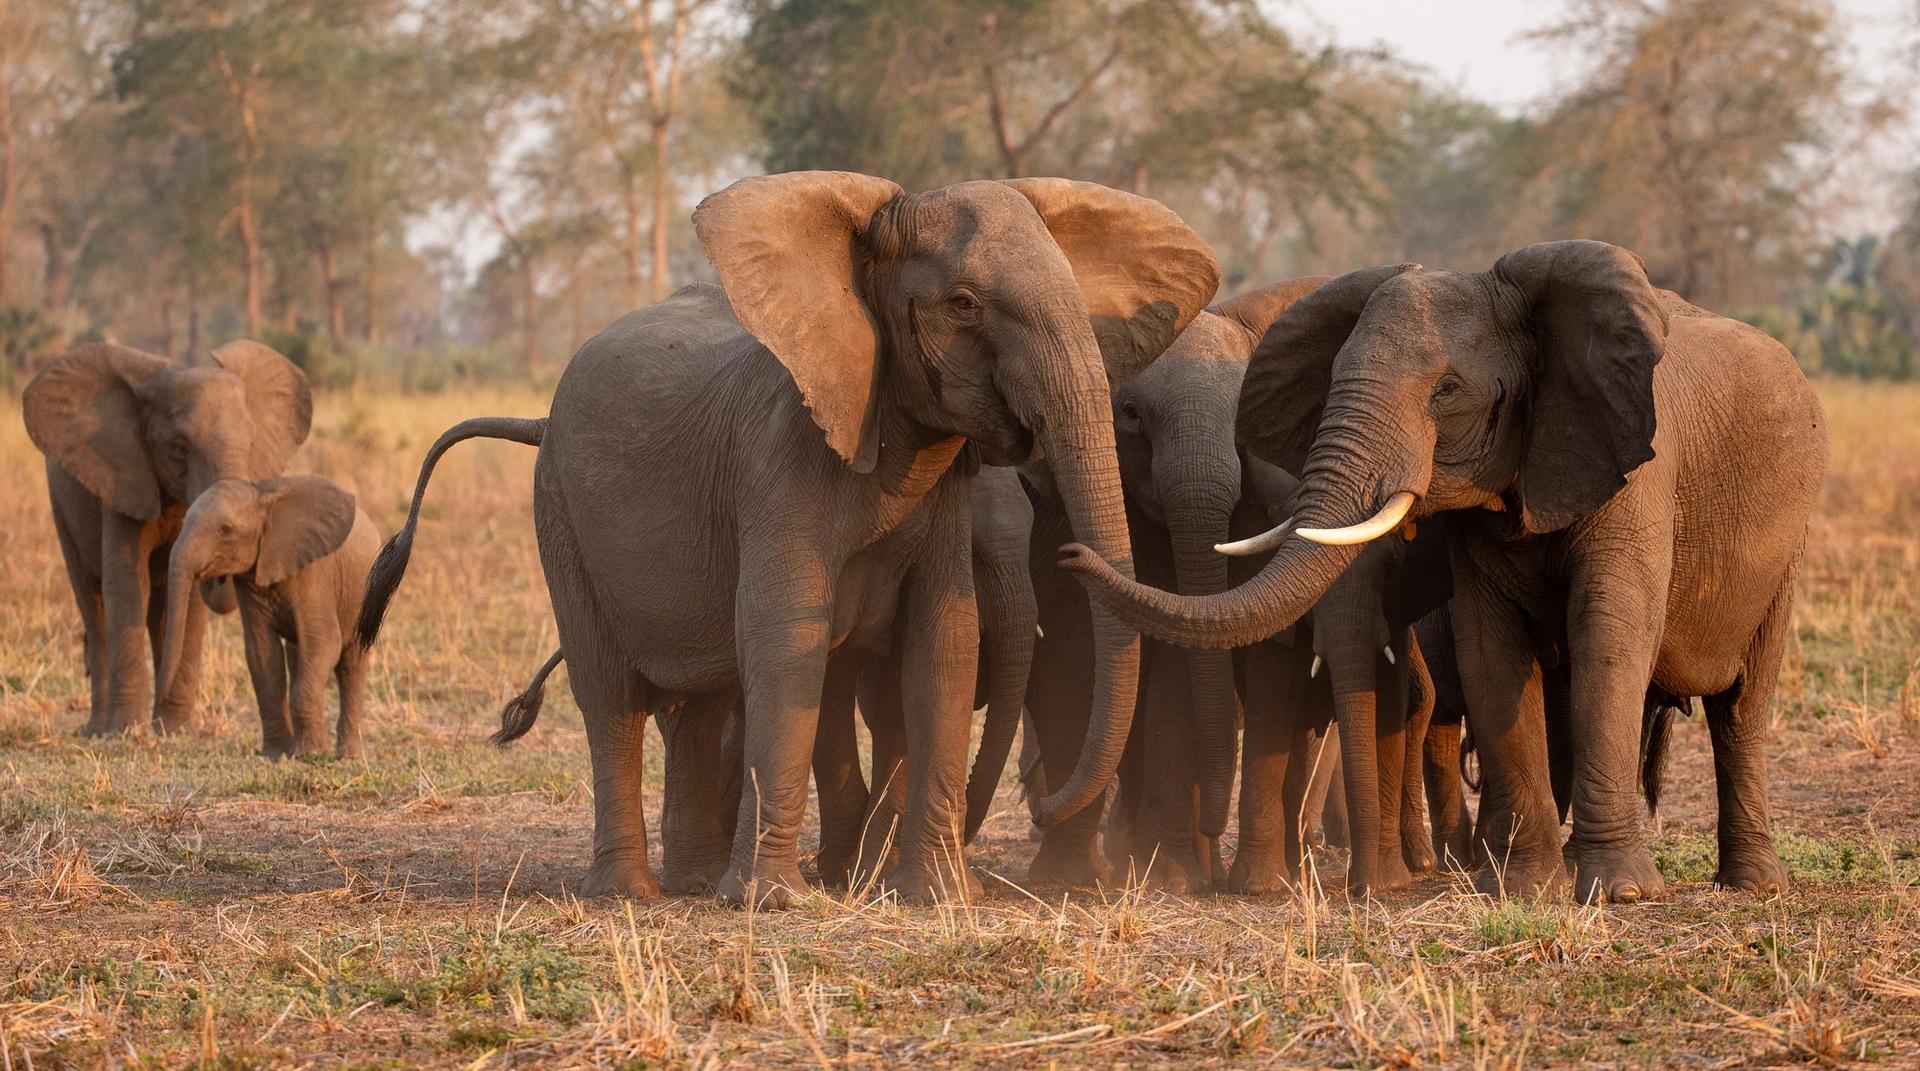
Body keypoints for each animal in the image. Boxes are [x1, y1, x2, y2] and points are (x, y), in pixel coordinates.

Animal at [24, 340, 313, 739]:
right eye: (179, 448)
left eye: (252, 441)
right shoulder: (122, 478)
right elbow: (127, 584)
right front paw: (127, 733)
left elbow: (188, 596)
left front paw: (174, 732)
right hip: (62, 508)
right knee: (92, 604)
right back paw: (98, 729)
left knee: (160, 612)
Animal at [156, 476, 381, 758]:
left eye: (225, 530)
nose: (161, 698)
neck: (262, 497)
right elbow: (262, 655)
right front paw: (276, 755)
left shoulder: (314, 572)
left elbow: (324, 644)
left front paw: (309, 755)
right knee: (298, 656)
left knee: (350, 665)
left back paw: (348, 755)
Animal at [359, 172, 1219, 906]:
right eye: (965, 303)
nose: (1074, 555)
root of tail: (538, 417)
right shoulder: (778, 468)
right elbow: (785, 643)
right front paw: (775, 903)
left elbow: (944, 641)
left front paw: (941, 899)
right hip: (558, 511)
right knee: (611, 697)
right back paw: (631, 895)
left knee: (703, 699)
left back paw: (695, 884)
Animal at [1065, 240, 1828, 903]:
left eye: (1449, 390)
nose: (1072, 557)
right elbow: (1491, 653)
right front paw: (1523, 887)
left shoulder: (1638, 473)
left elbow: (1609, 640)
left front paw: (1620, 894)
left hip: (1789, 544)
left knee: (1741, 705)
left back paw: (1753, 885)